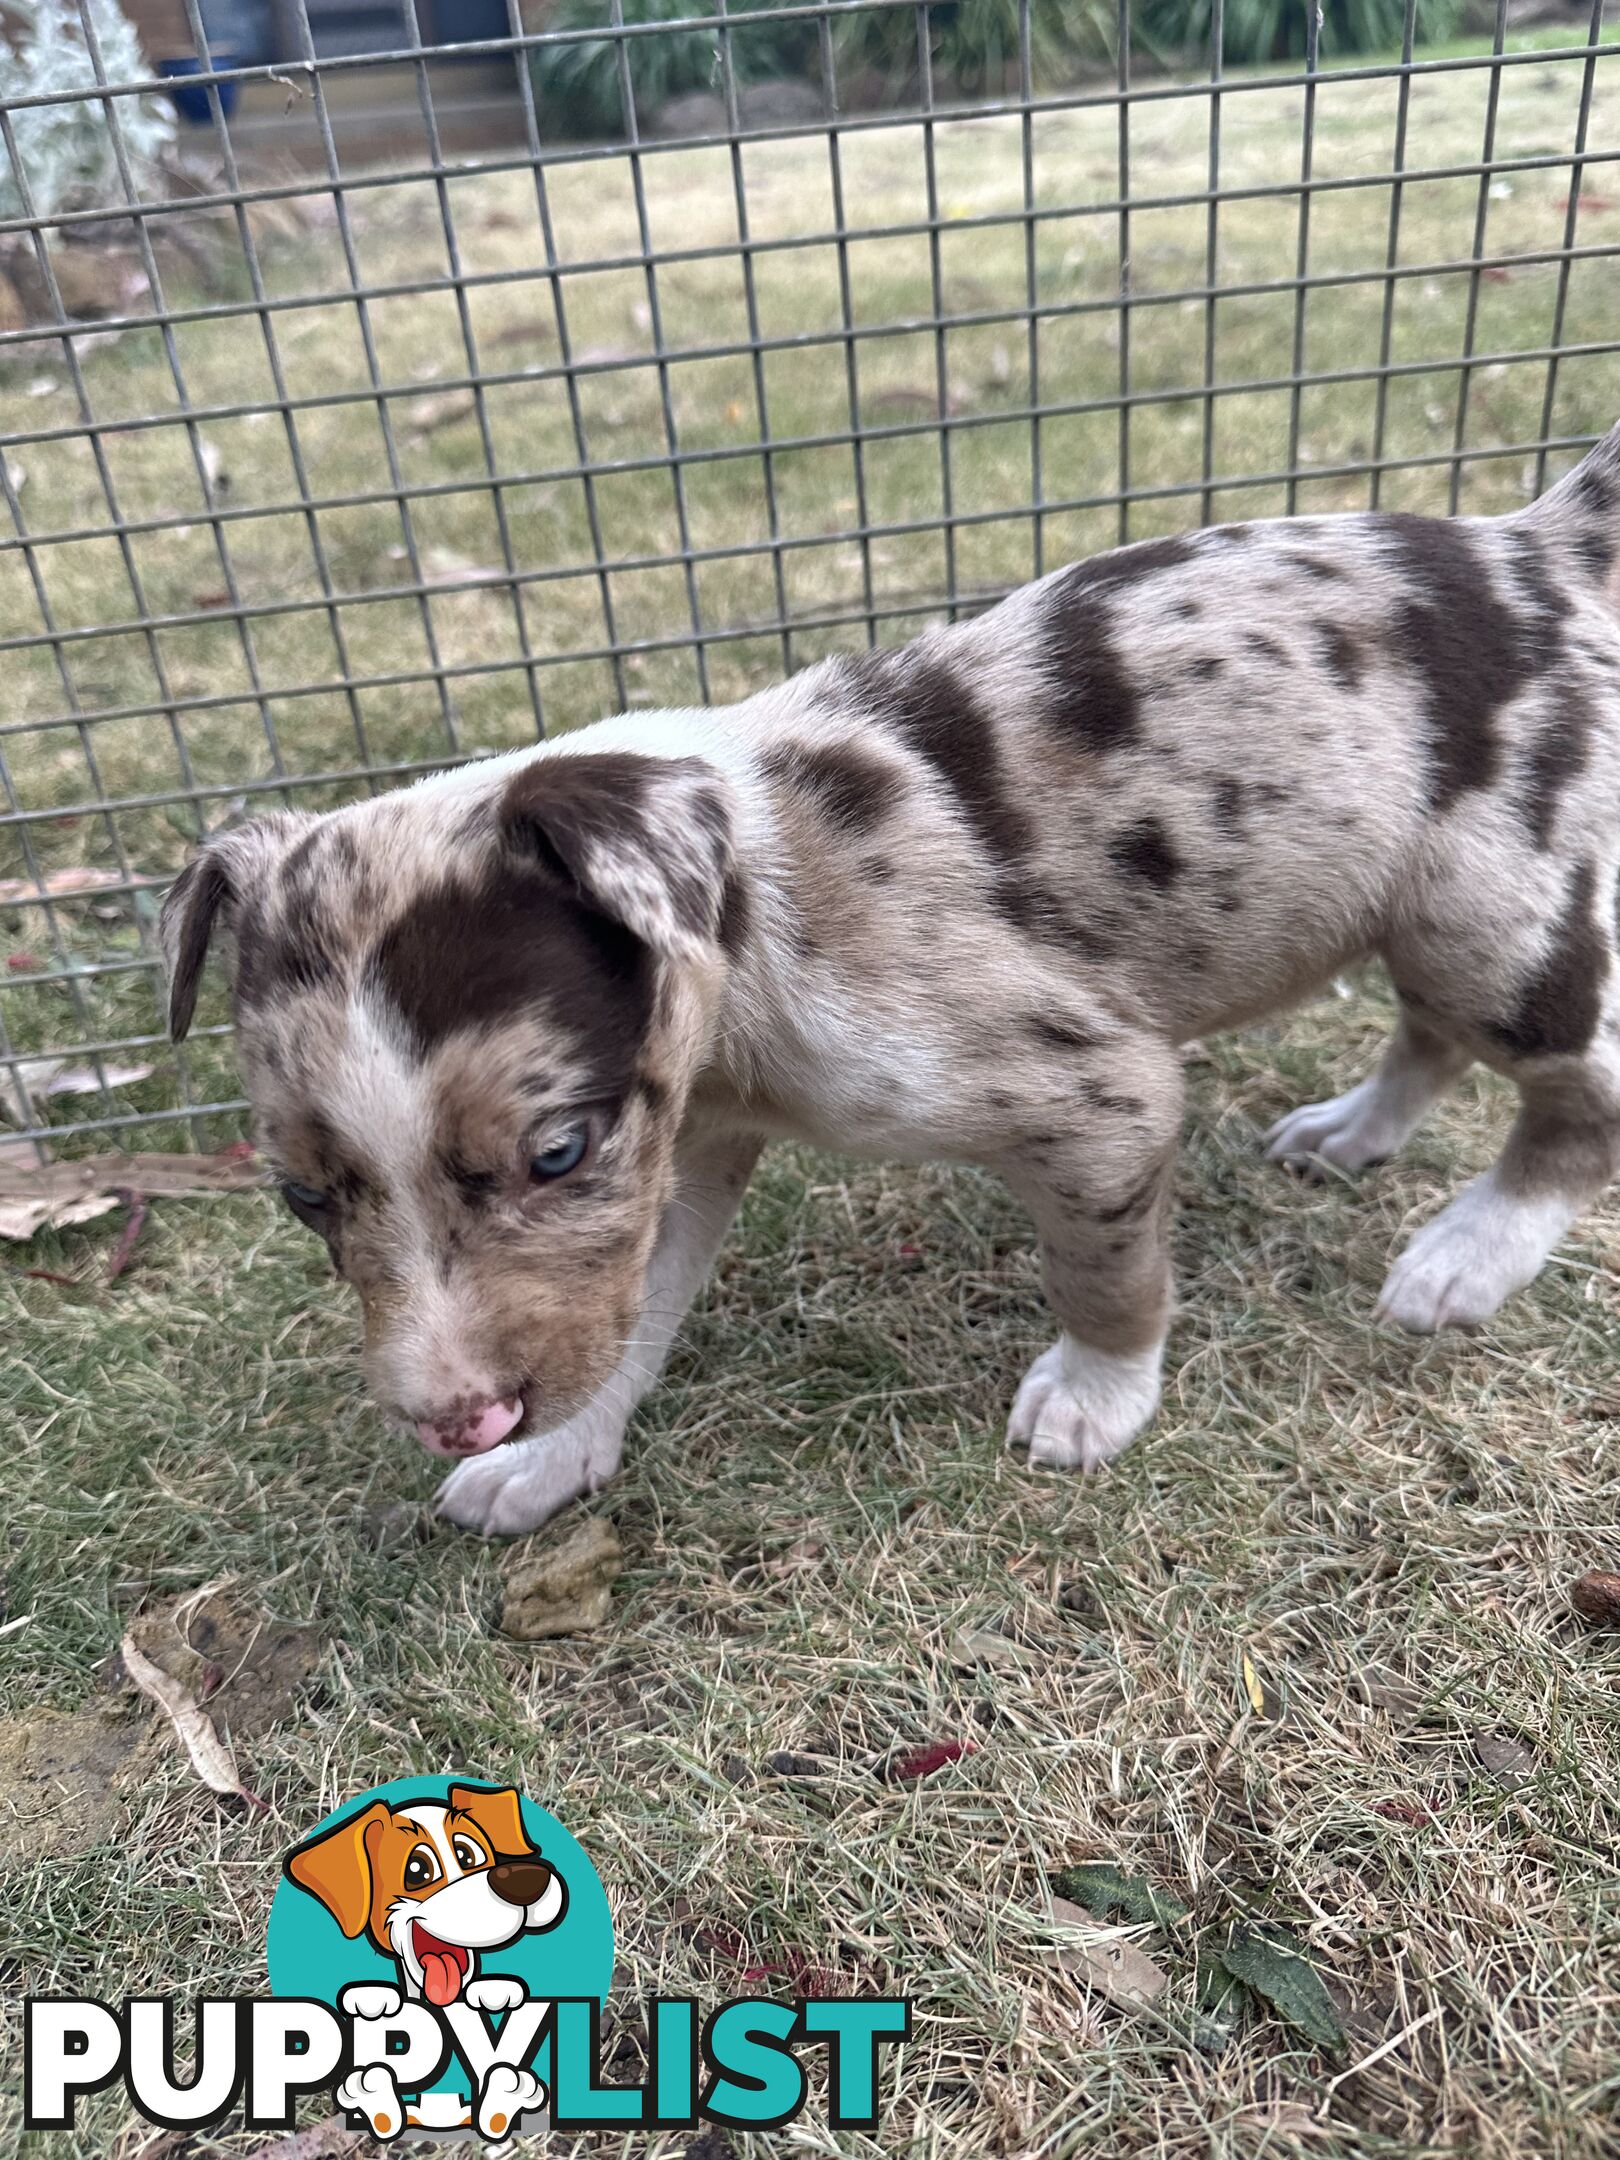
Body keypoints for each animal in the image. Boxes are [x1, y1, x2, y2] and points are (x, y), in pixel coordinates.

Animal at [162, 425, 1620, 1537]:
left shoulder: (1101, 1099)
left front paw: (1095, 1398)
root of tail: (1538, 541)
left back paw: (1467, 1256)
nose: (460, 1418)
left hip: (1493, 909)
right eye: (300, 1196)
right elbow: (631, 1312)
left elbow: (1103, 1276)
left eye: (554, 1153)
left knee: (1575, 1091)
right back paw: (1352, 1134)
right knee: (1429, 1033)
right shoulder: (681, 1150)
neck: (758, 937)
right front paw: (546, 1459)